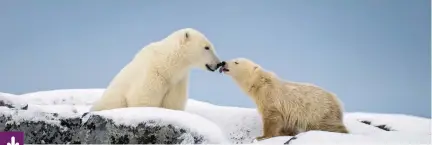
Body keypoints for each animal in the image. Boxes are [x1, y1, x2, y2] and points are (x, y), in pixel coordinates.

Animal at [89, 28, 221, 112]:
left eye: (210, 46)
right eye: (207, 47)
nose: (218, 63)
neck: (166, 65)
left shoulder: (177, 83)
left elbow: (173, 104)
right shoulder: (152, 75)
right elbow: (143, 101)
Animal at [219, 57, 348, 140]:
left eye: (236, 62)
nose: (223, 63)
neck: (260, 83)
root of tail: (337, 100)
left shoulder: (270, 97)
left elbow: (271, 117)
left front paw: (262, 136)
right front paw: (286, 133)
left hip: (319, 112)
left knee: (329, 125)